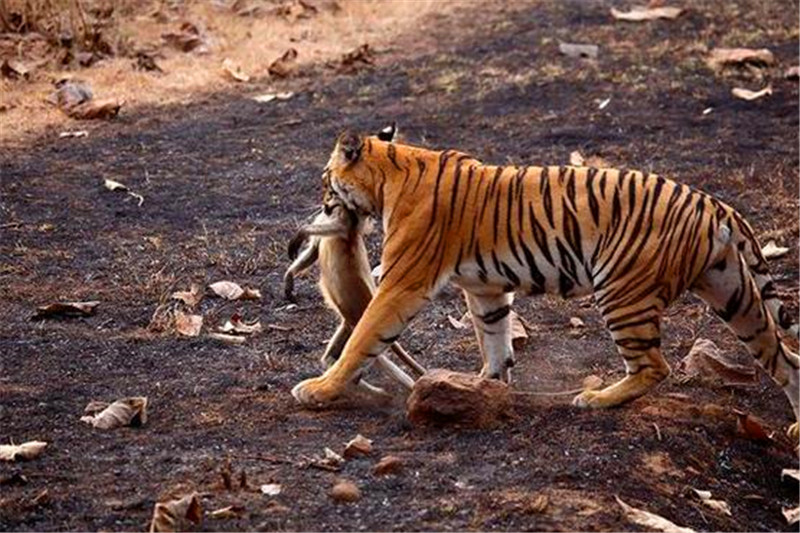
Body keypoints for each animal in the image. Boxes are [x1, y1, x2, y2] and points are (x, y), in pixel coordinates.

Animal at [290, 130, 796, 440]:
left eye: (325, 179)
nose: (323, 202)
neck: (389, 172)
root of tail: (712, 203)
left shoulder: (401, 282)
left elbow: (363, 337)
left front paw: (319, 389)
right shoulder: (487, 290)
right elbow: (495, 341)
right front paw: (484, 391)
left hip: (623, 292)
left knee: (655, 365)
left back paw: (595, 398)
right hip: (733, 293)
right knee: (784, 359)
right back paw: (794, 429)